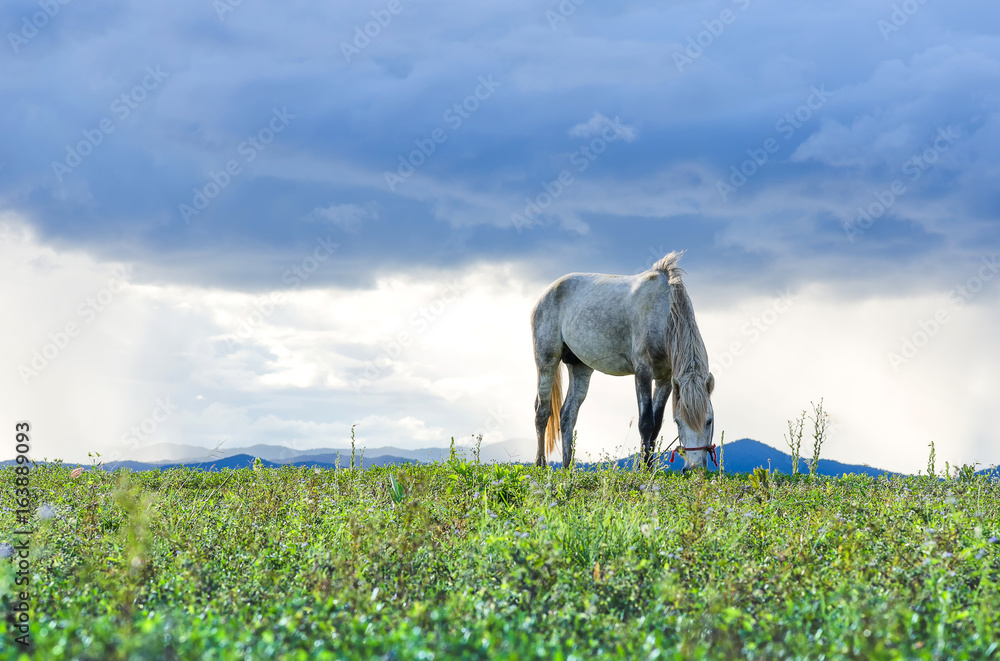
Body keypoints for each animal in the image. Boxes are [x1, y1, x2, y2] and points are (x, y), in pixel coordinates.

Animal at [528, 251, 716, 470]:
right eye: (678, 421)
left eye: (709, 421)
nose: (694, 468)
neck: (664, 313)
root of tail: (547, 292)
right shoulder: (643, 372)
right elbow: (646, 423)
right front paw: (642, 471)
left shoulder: (665, 380)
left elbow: (656, 426)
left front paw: (649, 468)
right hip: (546, 361)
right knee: (542, 412)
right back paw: (540, 465)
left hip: (580, 367)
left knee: (567, 415)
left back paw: (568, 468)